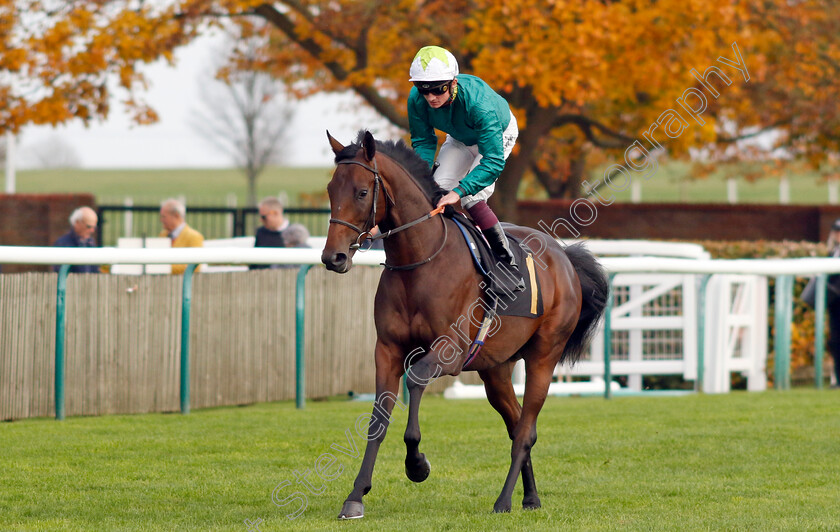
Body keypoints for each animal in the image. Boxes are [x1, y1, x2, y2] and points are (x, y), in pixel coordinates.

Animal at [324, 131, 612, 516]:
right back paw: (530, 497)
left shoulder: (450, 351)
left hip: (543, 356)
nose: (333, 257)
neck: (420, 259)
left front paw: (417, 465)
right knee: (516, 422)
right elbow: (378, 419)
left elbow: (415, 381)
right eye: (330, 189)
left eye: (360, 192)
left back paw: (503, 501)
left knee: (526, 431)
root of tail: (563, 256)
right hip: (496, 369)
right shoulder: (386, 349)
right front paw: (355, 496)